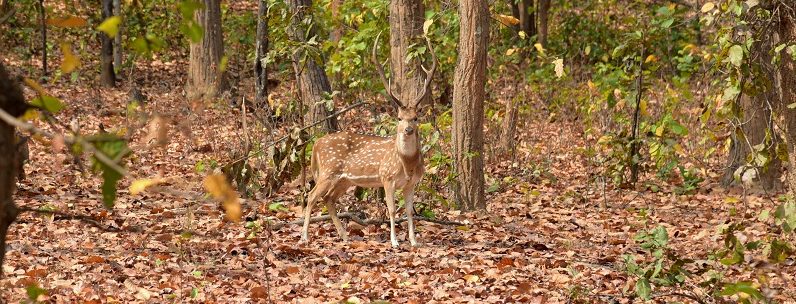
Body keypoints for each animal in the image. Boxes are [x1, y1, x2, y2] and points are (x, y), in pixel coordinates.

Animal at [304, 33, 438, 247]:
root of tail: (316, 144)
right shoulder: (387, 177)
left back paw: (344, 235)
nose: (408, 130)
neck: (407, 163)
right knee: (311, 196)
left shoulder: (411, 183)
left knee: (328, 199)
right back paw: (305, 237)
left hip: (344, 179)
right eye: (399, 117)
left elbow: (410, 211)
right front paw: (395, 242)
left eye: (416, 117)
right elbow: (392, 209)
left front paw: (414, 241)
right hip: (328, 170)